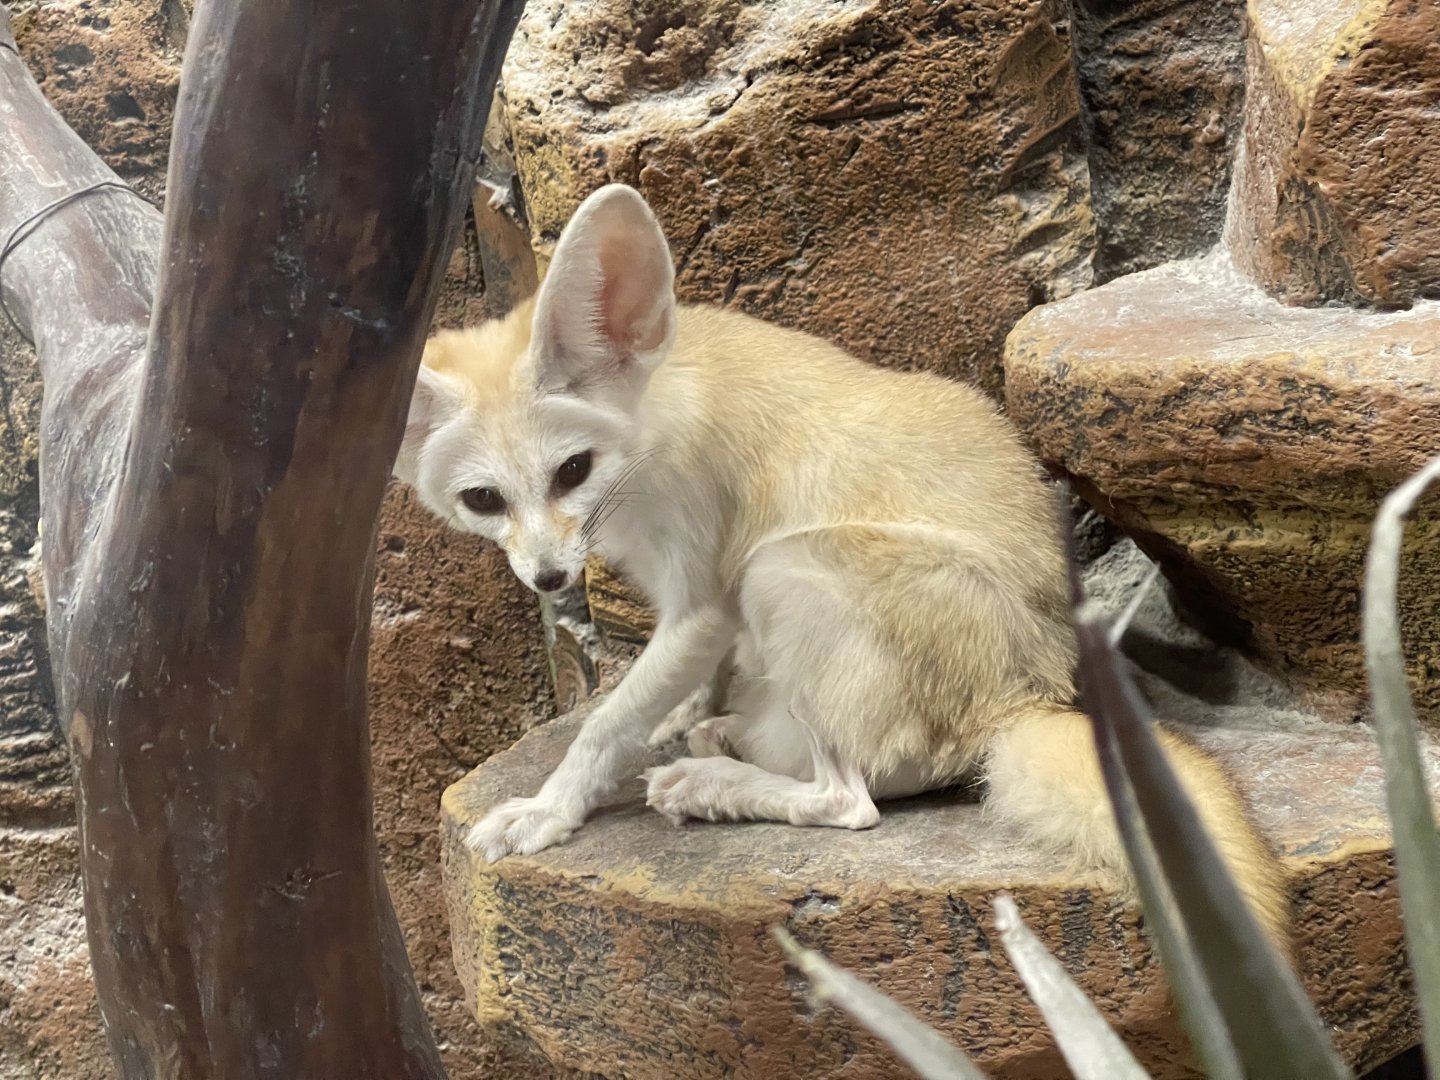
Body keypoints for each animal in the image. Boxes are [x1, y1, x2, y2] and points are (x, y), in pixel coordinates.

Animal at [394, 183, 1289, 944]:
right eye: (483, 500)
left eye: (572, 471)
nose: (549, 581)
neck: (656, 409)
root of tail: (1028, 702)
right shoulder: (689, 604)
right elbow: (686, 683)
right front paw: (686, 710)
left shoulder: (707, 596)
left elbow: (606, 721)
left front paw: (549, 809)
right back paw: (727, 735)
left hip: (784, 568)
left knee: (851, 801)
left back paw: (713, 783)